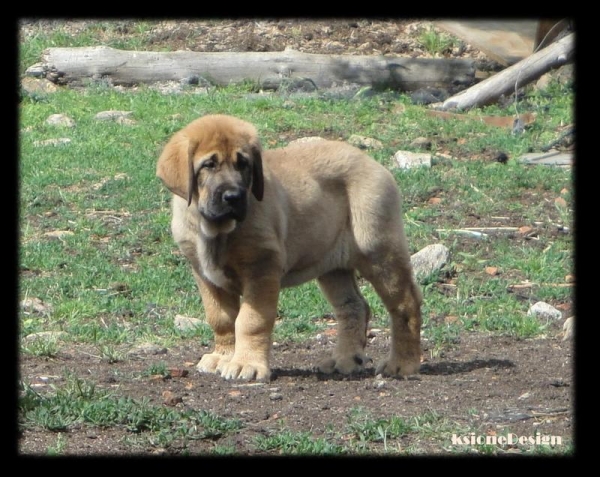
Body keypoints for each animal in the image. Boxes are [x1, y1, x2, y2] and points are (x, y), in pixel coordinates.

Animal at [157, 113, 424, 382]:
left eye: (243, 164)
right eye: (209, 165)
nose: (233, 197)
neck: (216, 230)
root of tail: (373, 163)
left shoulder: (262, 268)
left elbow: (250, 321)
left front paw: (246, 364)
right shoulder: (205, 275)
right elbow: (221, 319)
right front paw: (224, 356)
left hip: (379, 252)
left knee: (406, 305)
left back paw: (402, 364)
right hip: (332, 266)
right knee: (354, 307)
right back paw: (346, 360)